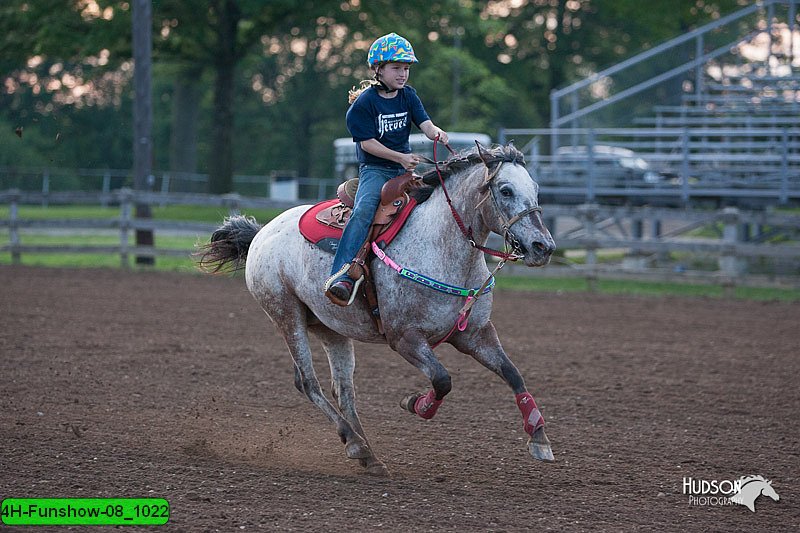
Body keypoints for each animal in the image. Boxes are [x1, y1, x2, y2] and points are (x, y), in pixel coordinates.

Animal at [202, 142, 556, 474]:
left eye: (536, 188)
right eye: (506, 190)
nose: (544, 246)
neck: (442, 246)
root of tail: (261, 232)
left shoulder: (475, 334)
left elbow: (513, 374)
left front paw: (539, 439)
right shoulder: (405, 338)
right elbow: (443, 379)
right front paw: (416, 404)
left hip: (330, 328)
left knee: (343, 390)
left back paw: (369, 455)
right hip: (286, 315)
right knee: (307, 382)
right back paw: (355, 442)